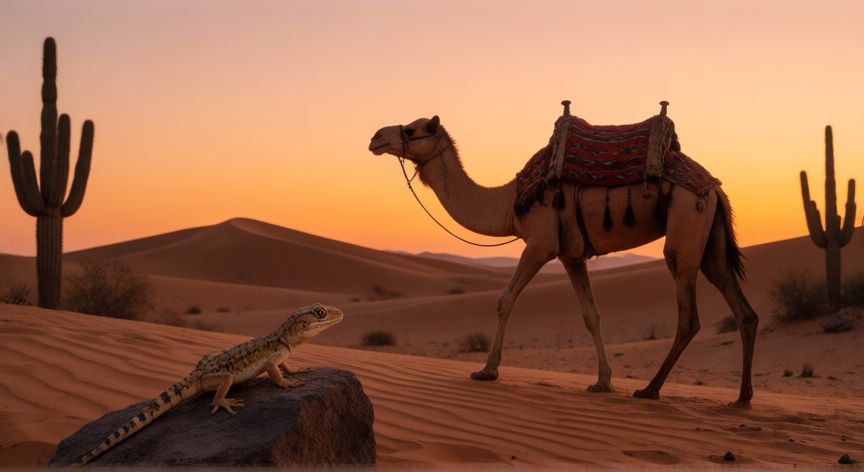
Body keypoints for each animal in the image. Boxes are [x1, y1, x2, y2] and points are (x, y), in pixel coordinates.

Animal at [368, 114, 760, 407]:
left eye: (411, 130)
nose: (375, 137)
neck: (508, 201)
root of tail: (715, 188)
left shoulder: (540, 243)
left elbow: (504, 299)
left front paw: (487, 370)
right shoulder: (571, 254)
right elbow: (591, 315)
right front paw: (602, 381)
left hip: (686, 222)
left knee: (688, 314)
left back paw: (650, 389)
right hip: (711, 242)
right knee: (742, 308)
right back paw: (741, 398)